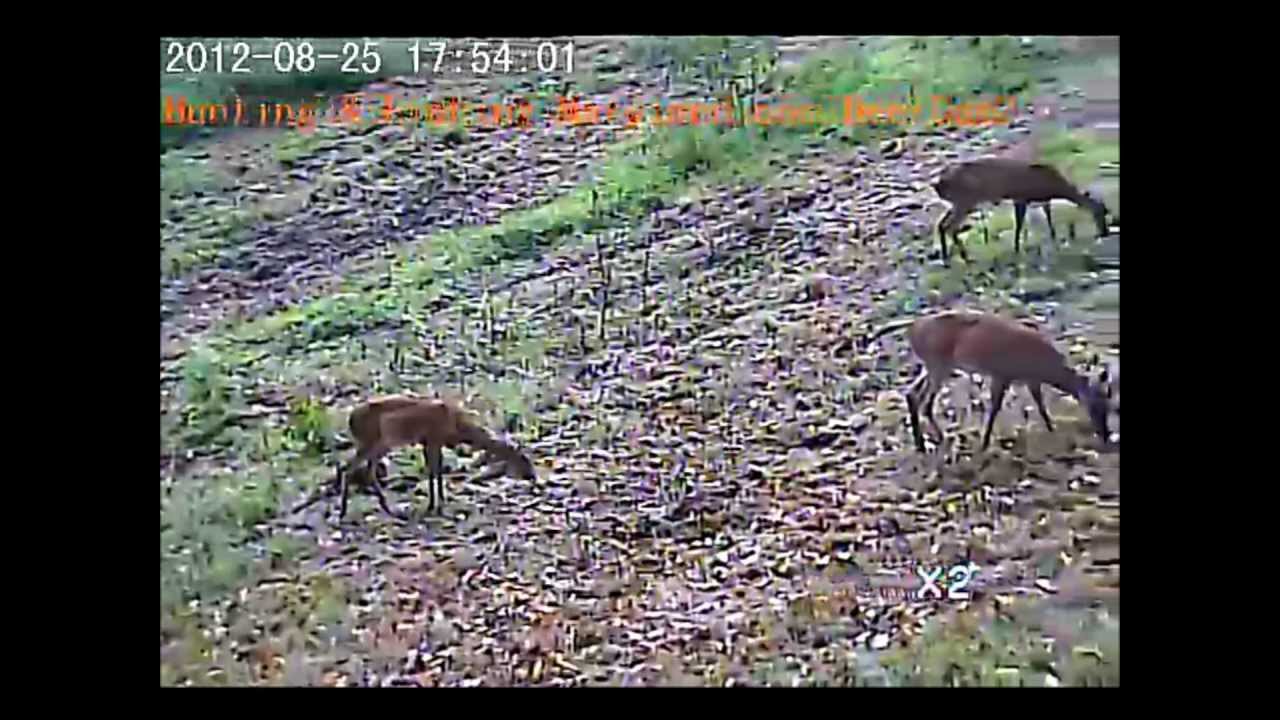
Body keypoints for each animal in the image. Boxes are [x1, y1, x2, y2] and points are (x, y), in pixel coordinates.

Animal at [289, 394, 536, 522]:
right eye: (524, 459)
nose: (534, 477)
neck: (458, 427)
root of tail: (350, 419)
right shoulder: (432, 439)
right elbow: (434, 471)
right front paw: (435, 506)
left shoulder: (429, 442)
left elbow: (435, 471)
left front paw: (438, 503)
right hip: (372, 440)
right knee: (351, 469)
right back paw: (344, 512)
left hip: (379, 444)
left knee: (363, 470)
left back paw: (387, 509)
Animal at [864, 310, 1113, 453]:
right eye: (1096, 405)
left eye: (1109, 405)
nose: (1106, 434)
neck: (1044, 365)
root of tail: (911, 325)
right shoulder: (1002, 374)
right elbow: (994, 408)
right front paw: (984, 443)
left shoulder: (1029, 379)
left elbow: (1040, 405)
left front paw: (1051, 429)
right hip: (938, 363)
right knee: (922, 399)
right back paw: (929, 442)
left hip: (934, 364)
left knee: (911, 394)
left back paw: (925, 442)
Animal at [933, 157, 1110, 263]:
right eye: (1101, 213)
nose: (1105, 232)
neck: (1056, 187)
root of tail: (938, 184)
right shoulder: (1022, 198)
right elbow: (1019, 224)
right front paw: (1018, 248)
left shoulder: (1036, 200)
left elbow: (1046, 216)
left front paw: (1051, 237)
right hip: (966, 199)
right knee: (949, 227)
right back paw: (965, 257)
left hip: (960, 202)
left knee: (941, 224)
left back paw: (946, 257)